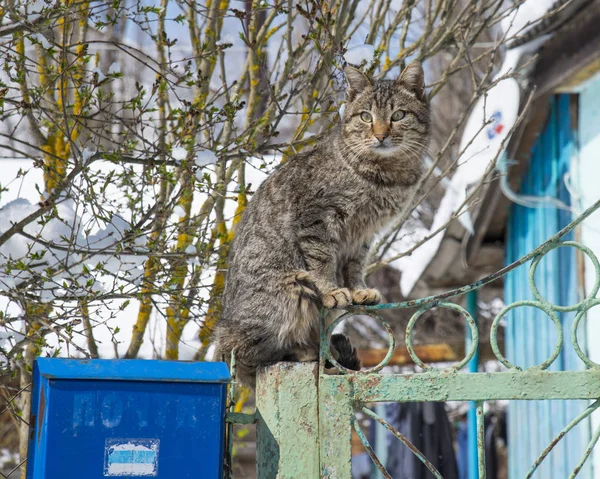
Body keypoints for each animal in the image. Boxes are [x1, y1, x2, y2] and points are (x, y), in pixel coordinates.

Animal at [216, 62, 432, 388]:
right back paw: (301, 350)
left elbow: (354, 266)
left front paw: (359, 289)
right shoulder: (316, 218)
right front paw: (332, 290)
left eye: (398, 116)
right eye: (366, 116)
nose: (381, 135)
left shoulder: (362, 234)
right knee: (249, 355)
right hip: (287, 292)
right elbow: (322, 261)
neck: (384, 175)